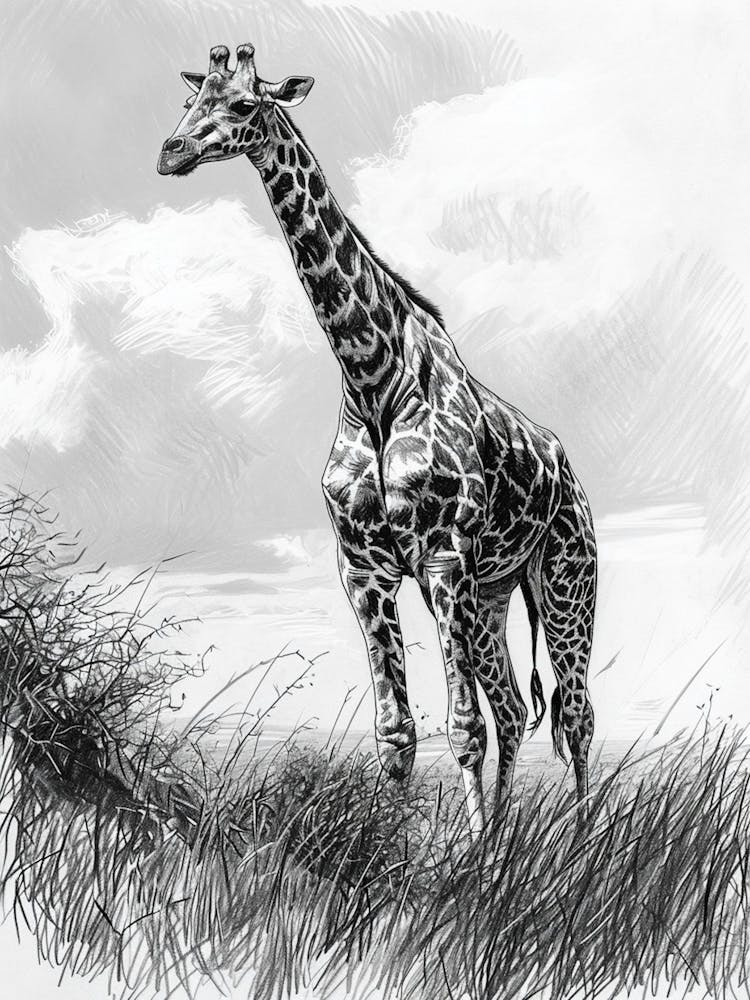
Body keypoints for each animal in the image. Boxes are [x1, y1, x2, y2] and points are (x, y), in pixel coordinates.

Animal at [158, 44, 597, 837]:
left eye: (244, 104)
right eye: (190, 100)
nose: (170, 152)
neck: (371, 376)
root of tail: (569, 467)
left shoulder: (444, 558)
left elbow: (461, 725)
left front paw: (470, 859)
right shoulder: (365, 569)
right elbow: (397, 732)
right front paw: (395, 851)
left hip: (564, 577)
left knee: (572, 713)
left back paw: (578, 845)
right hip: (493, 592)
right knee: (517, 709)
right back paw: (511, 842)